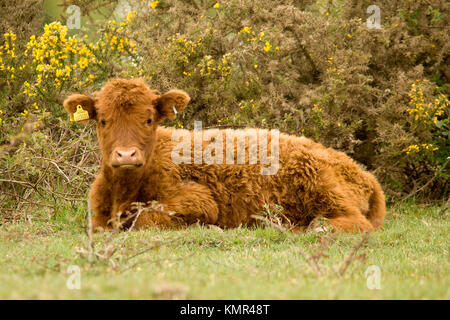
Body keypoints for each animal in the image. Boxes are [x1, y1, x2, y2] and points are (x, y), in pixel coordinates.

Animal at [64, 77, 386, 232]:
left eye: (148, 119)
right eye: (103, 120)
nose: (126, 155)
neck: (123, 194)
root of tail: (362, 172)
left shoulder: (200, 201)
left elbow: (147, 219)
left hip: (321, 184)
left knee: (352, 222)